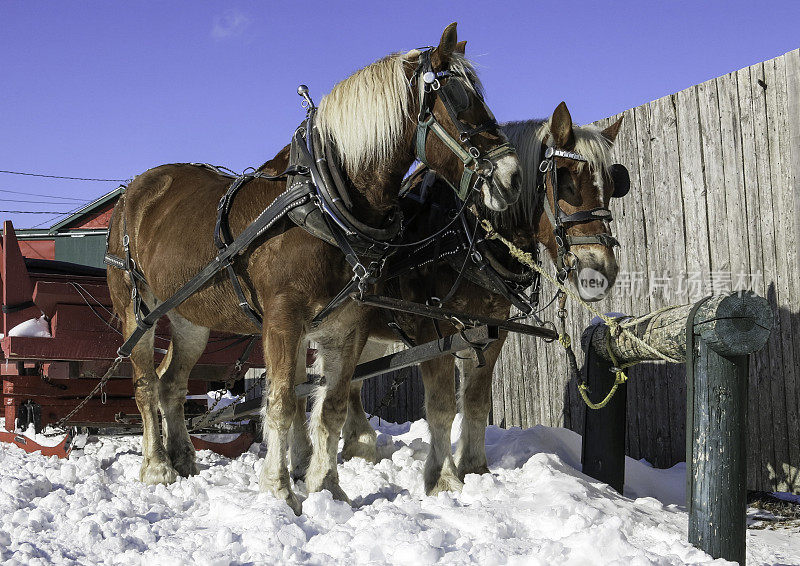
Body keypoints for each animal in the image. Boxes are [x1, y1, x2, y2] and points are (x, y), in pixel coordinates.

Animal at [106, 24, 520, 516]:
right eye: (457, 98)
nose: (512, 176)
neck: (326, 203)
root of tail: (135, 190)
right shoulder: (284, 320)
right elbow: (283, 401)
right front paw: (280, 490)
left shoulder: (348, 324)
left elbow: (332, 406)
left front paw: (328, 489)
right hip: (138, 309)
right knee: (146, 384)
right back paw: (157, 467)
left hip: (190, 317)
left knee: (172, 383)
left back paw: (184, 459)